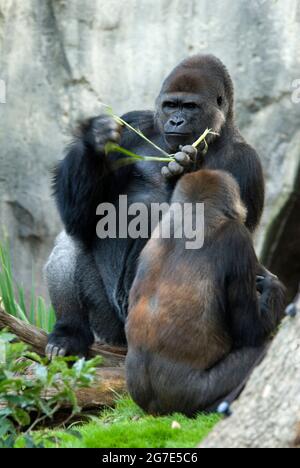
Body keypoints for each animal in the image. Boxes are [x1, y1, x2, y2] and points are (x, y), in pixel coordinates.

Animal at [45, 55, 284, 372]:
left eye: (190, 107)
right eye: (171, 105)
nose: (176, 121)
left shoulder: (247, 161)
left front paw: (185, 169)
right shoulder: (133, 123)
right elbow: (82, 216)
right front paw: (95, 140)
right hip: (109, 326)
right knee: (72, 238)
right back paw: (68, 334)